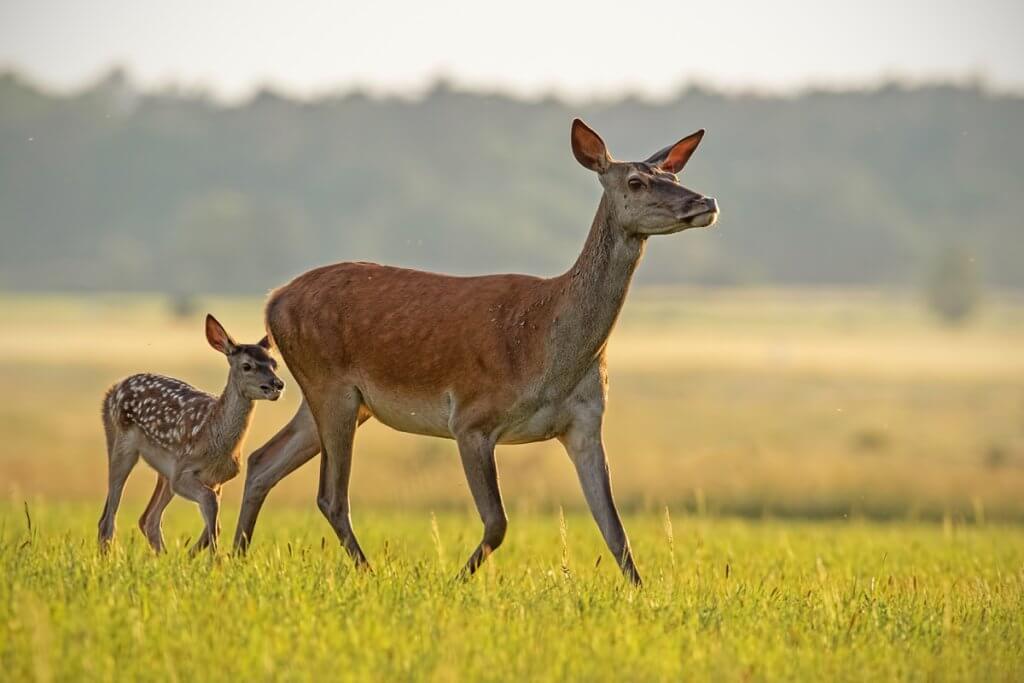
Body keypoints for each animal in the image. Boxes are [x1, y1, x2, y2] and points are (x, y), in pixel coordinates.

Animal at [98, 315, 285, 554]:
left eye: (274, 364)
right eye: (247, 366)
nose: (277, 384)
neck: (215, 440)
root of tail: (112, 390)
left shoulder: (217, 480)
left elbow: (215, 522)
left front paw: (193, 555)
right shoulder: (183, 472)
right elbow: (211, 505)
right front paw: (212, 559)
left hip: (163, 470)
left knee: (148, 519)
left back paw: (164, 557)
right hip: (124, 445)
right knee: (109, 519)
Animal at [232, 119, 719, 585]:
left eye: (674, 174)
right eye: (636, 181)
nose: (706, 202)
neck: (549, 352)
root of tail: (273, 301)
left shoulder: (585, 423)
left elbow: (615, 530)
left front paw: (643, 594)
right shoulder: (470, 419)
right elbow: (497, 523)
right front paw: (455, 582)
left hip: (341, 400)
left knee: (261, 462)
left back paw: (231, 556)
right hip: (330, 385)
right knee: (330, 496)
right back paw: (367, 573)